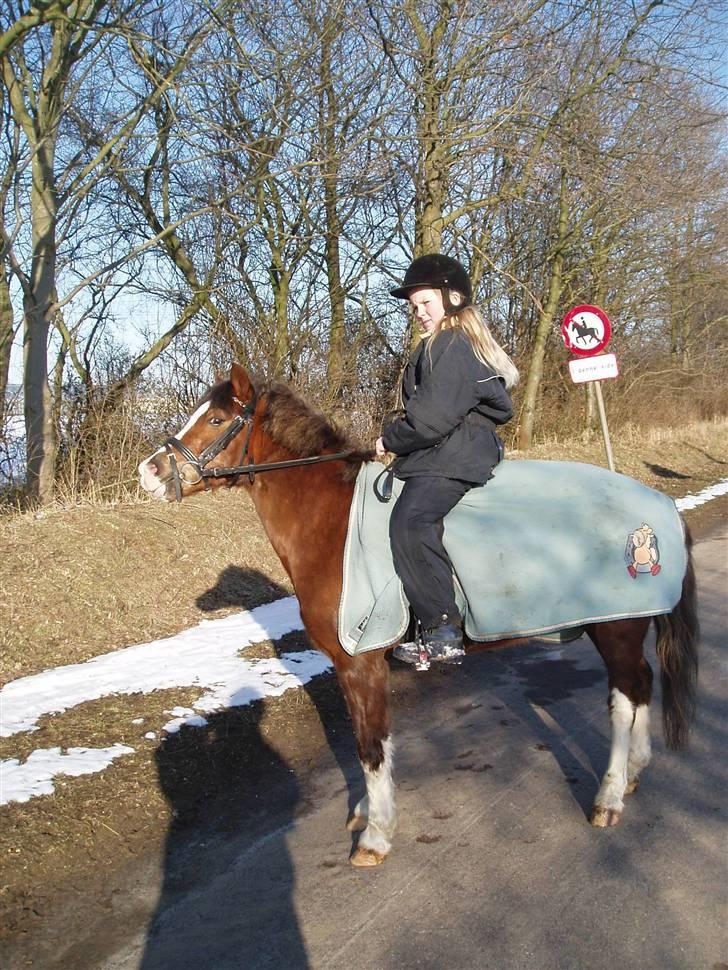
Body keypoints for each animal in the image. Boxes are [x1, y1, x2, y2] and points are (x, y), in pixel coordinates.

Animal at [138, 364, 700, 864]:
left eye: (215, 419)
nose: (150, 471)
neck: (333, 523)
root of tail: (658, 506)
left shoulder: (360, 661)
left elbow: (370, 744)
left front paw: (376, 835)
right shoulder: (352, 665)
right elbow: (368, 741)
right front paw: (369, 813)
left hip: (617, 628)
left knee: (624, 701)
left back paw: (609, 796)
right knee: (642, 684)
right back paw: (634, 771)